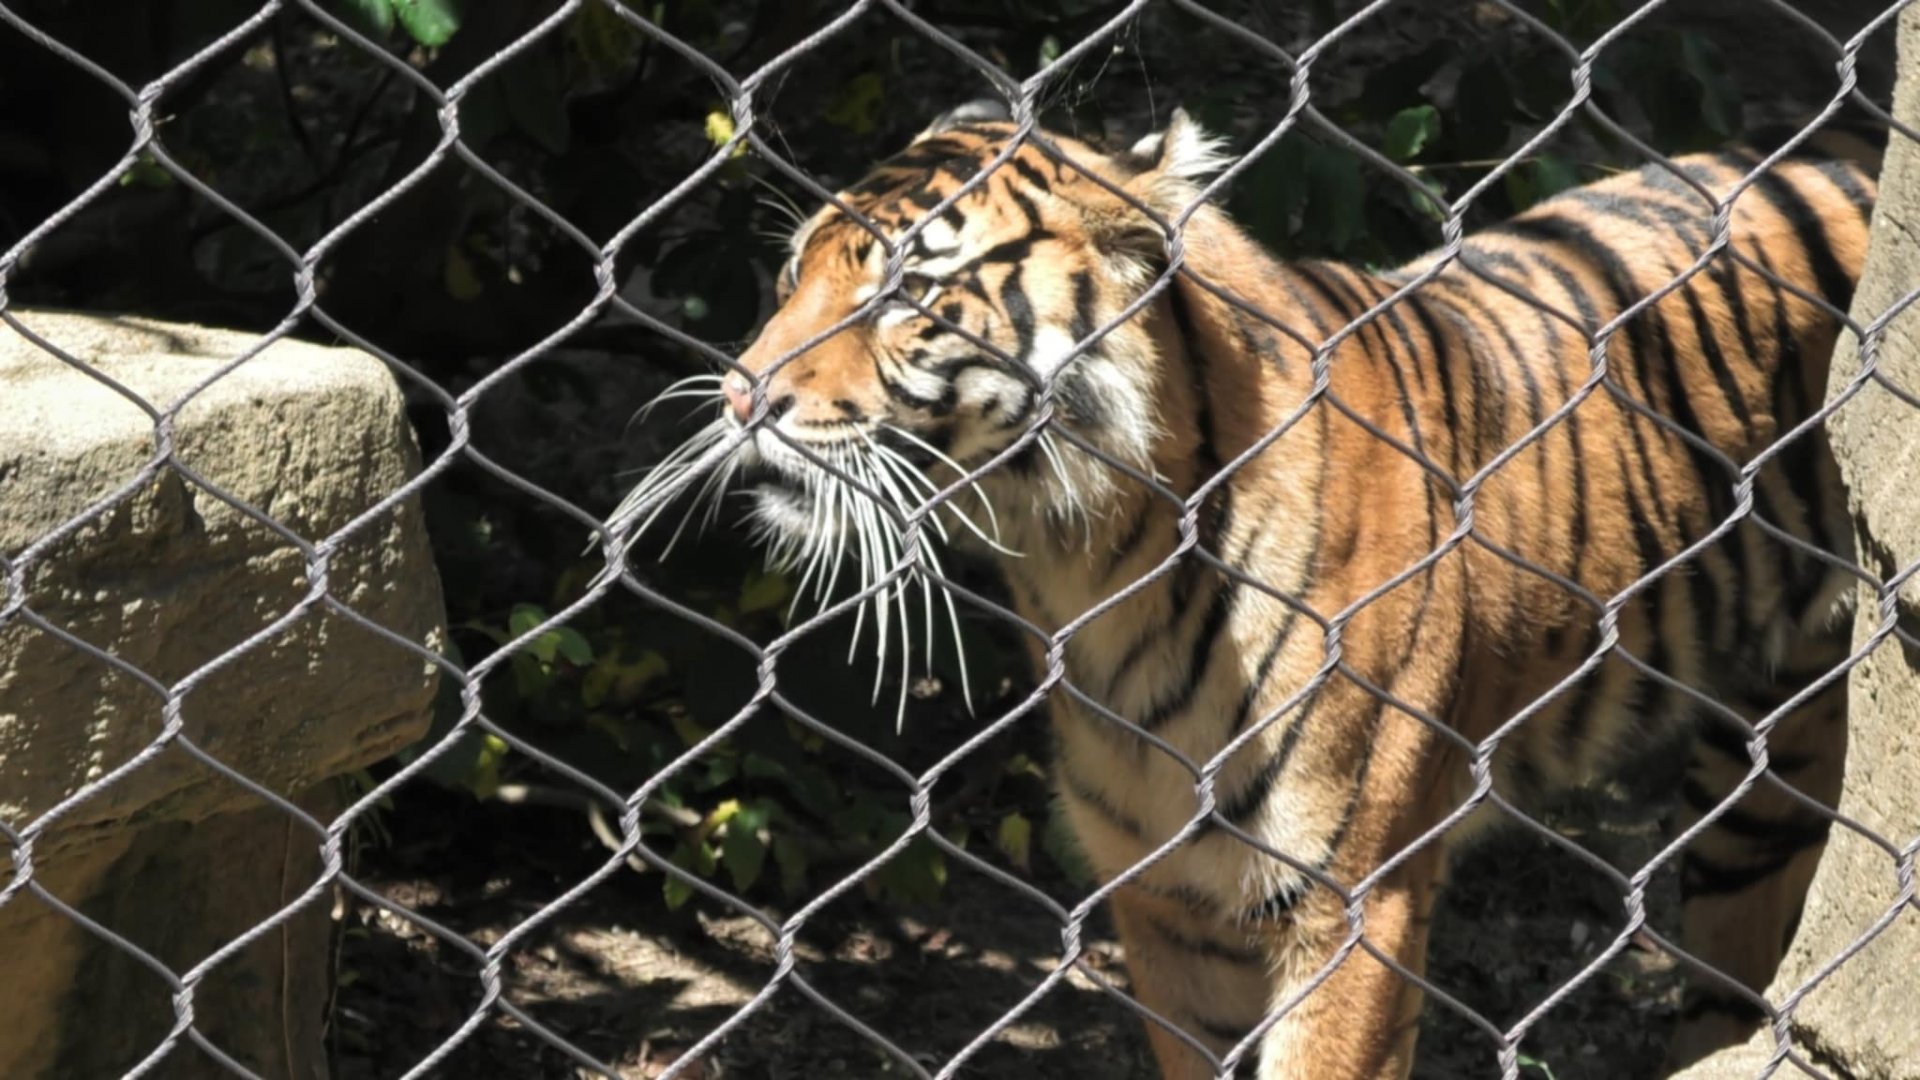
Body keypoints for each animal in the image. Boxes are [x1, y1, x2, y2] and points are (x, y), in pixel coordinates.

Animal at [607, 97, 1878, 1078]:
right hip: (1757, 790)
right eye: (791, 275)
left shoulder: (1353, 900)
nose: (740, 395)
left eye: (905, 291)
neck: (1092, 567)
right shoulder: (1171, 902)